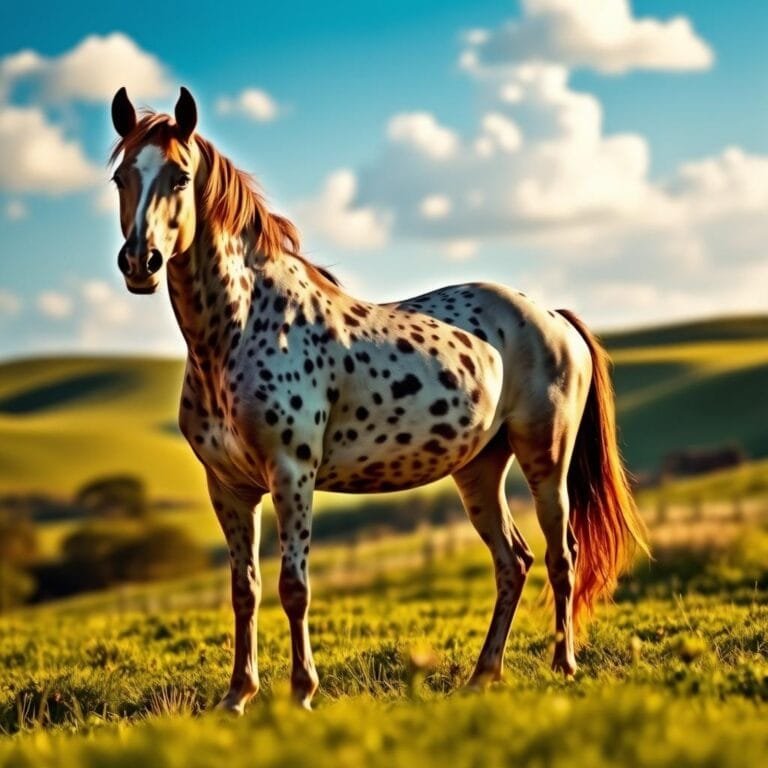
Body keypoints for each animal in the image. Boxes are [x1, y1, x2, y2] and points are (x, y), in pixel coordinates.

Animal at [108, 86, 649, 712]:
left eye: (179, 176)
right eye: (121, 176)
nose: (139, 262)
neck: (238, 332)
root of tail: (552, 317)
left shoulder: (291, 474)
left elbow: (294, 587)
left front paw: (301, 692)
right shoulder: (229, 488)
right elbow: (245, 590)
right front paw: (237, 696)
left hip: (546, 460)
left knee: (563, 557)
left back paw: (564, 667)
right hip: (479, 469)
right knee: (513, 562)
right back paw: (482, 675)